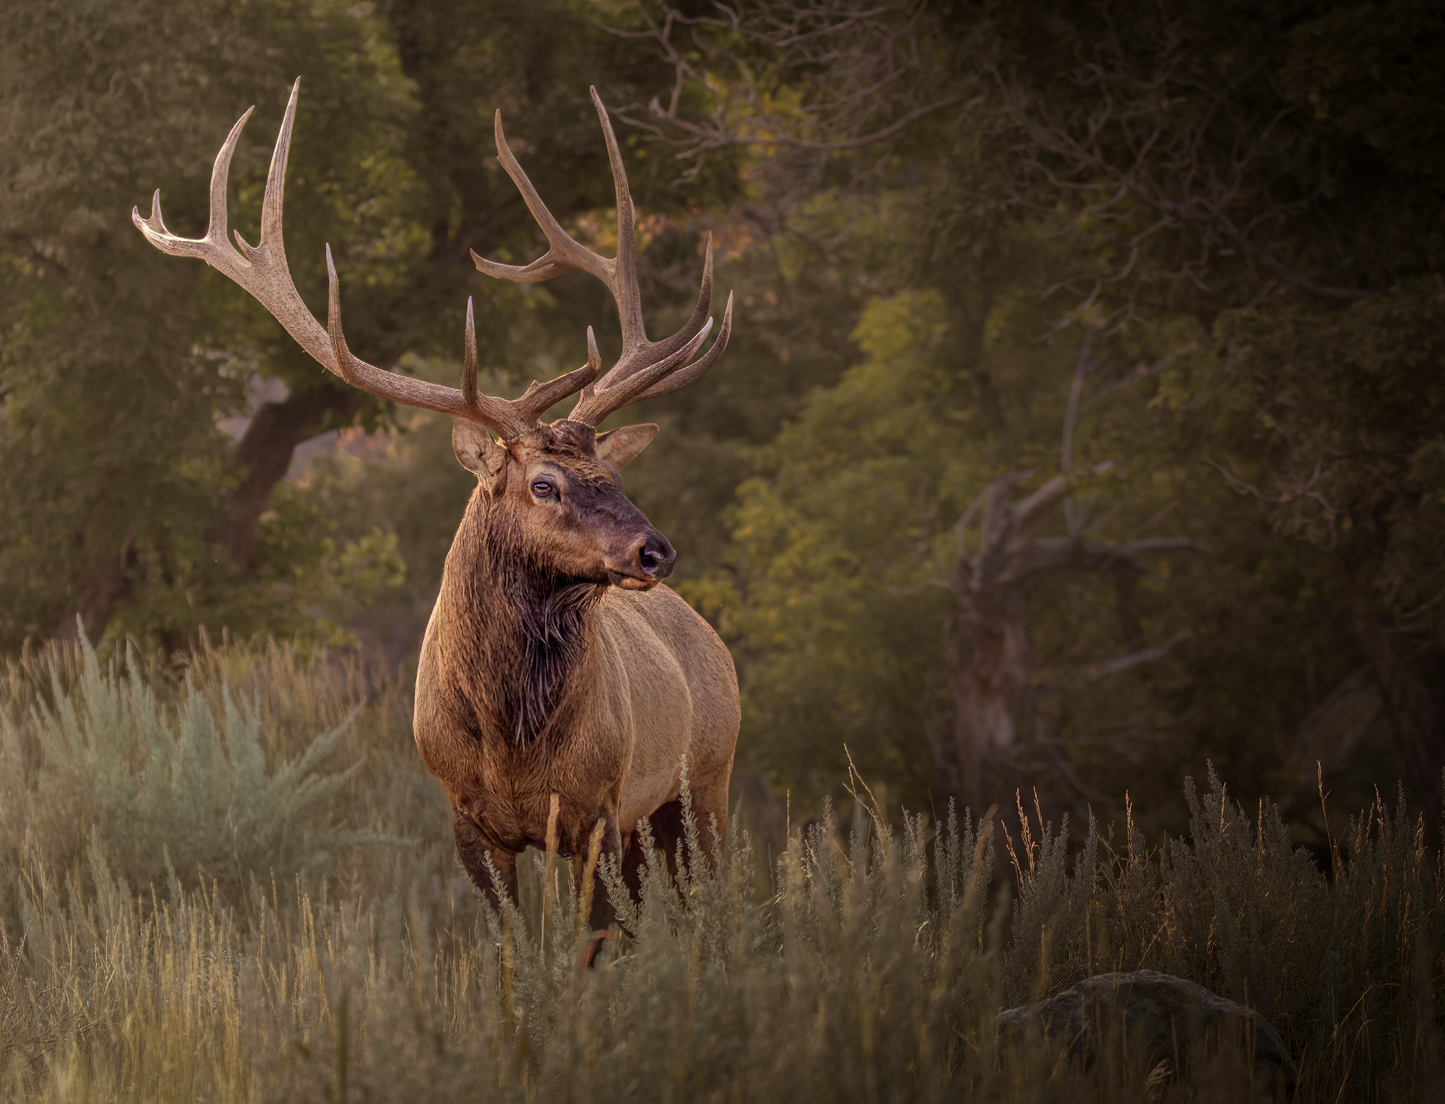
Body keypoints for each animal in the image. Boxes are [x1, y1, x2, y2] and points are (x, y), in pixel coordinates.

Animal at [130, 77, 739, 924]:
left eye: (613, 479)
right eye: (543, 483)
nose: (656, 551)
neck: (509, 743)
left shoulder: (596, 810)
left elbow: (590, 942)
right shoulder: (466, 818)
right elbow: (515, 946)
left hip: (706, 779)